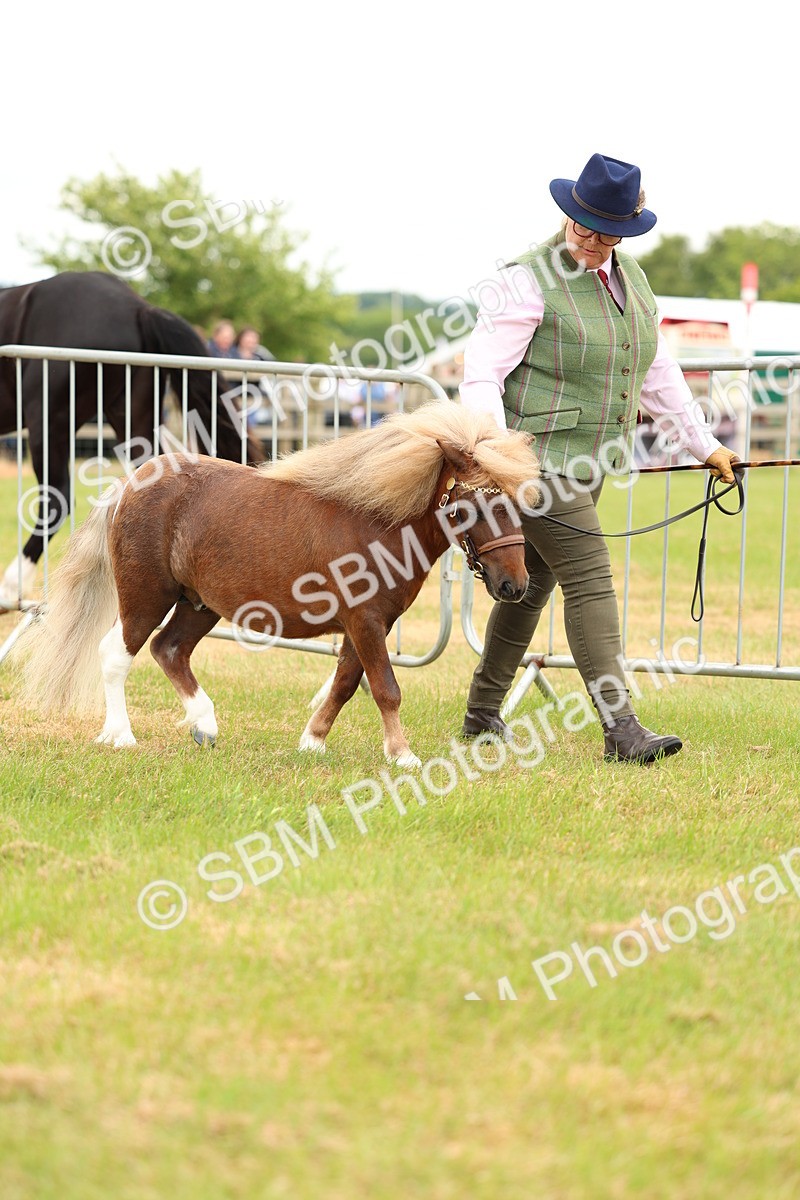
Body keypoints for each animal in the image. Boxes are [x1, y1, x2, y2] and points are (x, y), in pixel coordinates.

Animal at [19, 402, 540, 766]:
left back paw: (205, 725)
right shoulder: (366, 620)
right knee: (116, 653)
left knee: (169, 649)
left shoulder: (369, 624)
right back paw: (121, 735)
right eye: (475, 505)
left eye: (518, 502)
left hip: (198, 604)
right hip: (145, 596)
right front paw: (403, 755)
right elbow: (385, 687)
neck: (377, 522)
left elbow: (345, 683)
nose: (514, 585)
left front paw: (312, 741)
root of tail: (128, 485)